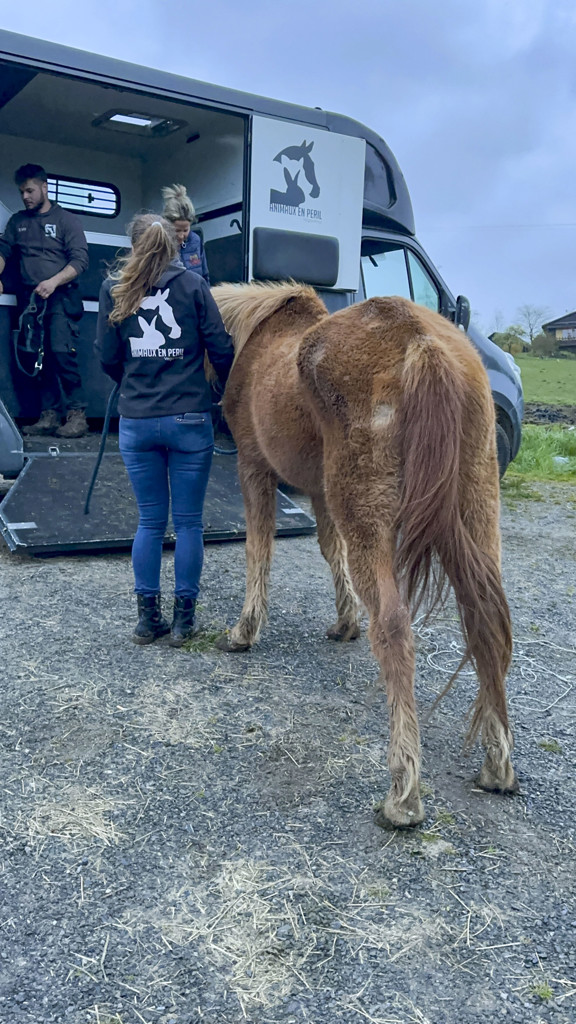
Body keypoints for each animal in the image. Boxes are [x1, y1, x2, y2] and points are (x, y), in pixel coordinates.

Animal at [210, 281, 517, 828]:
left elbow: (258, 549)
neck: (258, 334)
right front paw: (345, 622)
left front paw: (245, 630)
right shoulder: (319, 492)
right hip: (477, 513)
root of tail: (422, 344)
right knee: (485, 622)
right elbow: (330, 550)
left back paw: (403, 793)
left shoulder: (254, 470)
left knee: (395, 629)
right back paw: (497, 766)